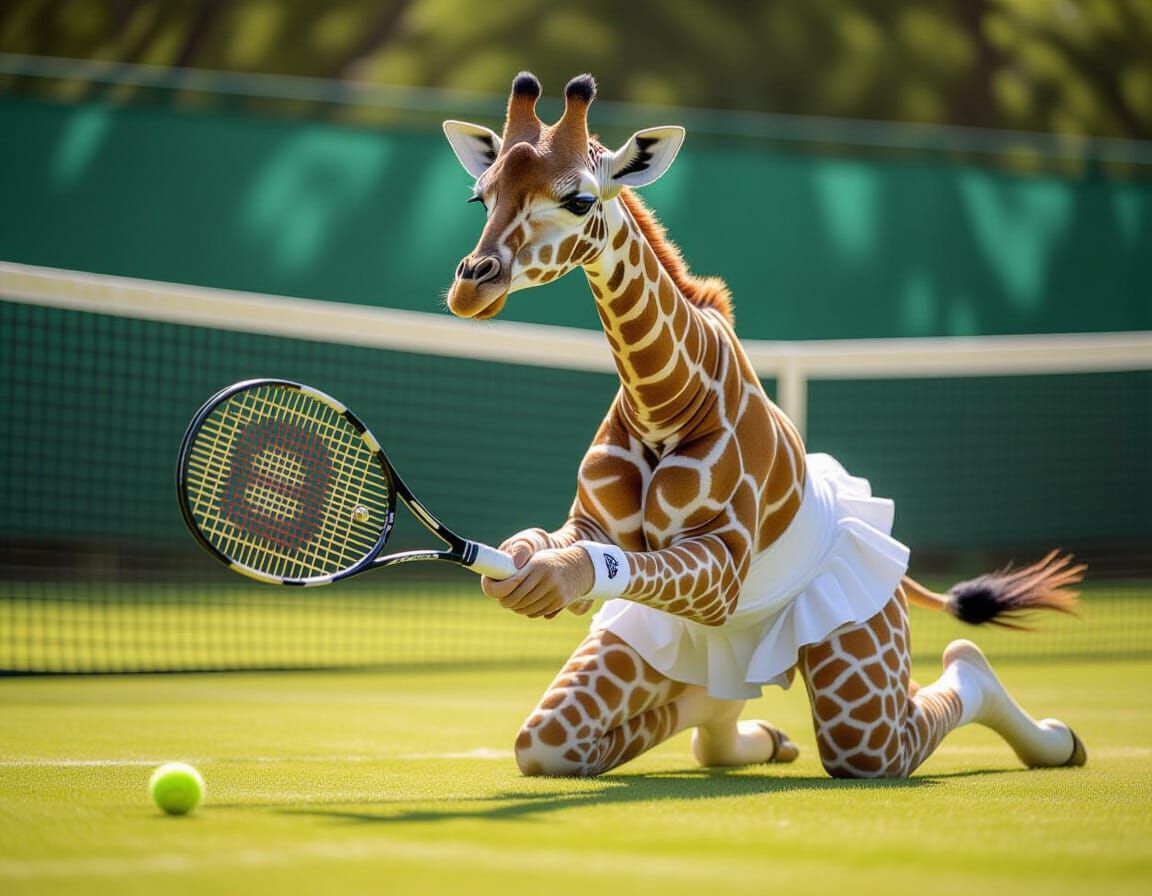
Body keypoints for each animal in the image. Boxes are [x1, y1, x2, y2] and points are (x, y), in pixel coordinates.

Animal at [442, 72, 1087, 779]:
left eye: (580, 199)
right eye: (480, 195)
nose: (471, 287)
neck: (666, 398)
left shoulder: (722, 567)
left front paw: (548, 578)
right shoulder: (596, 528)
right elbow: (564, 544)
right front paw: (523, 562)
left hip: (858, 672)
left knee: (911, 713)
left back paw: (1053, 736)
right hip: (663, 652)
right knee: (589, 731)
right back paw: (763, 736)